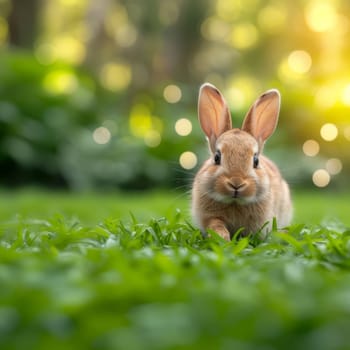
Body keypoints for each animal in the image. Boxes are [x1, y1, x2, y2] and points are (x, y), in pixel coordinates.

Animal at [191, 82, 292, 241]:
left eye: (256, 161)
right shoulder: (210, 217)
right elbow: (215, 224)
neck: (235, 203)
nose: (236, 183)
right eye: (217, 158)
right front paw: (222, 237)